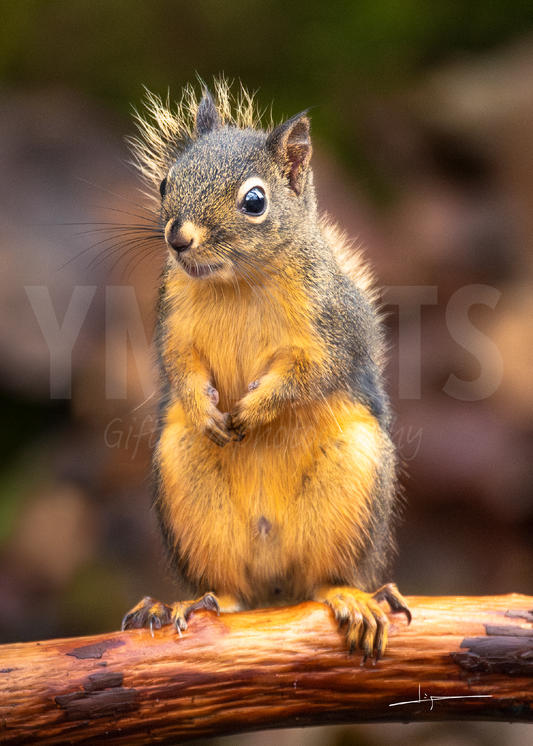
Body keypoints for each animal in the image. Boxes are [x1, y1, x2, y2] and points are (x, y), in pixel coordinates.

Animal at [122, 79, 411, 659]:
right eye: (166, 182)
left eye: (255, 201)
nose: (177, 238)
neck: (238, 282)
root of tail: (276, 586)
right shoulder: (173, 322)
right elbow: (180, 368)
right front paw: (207, 409)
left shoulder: (329, 329)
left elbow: (308, 375)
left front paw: (256, 410)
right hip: (187, 484)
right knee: (229, 590)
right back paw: (188, 603)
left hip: (354, 479)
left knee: (324, 578)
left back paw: (352, 599)